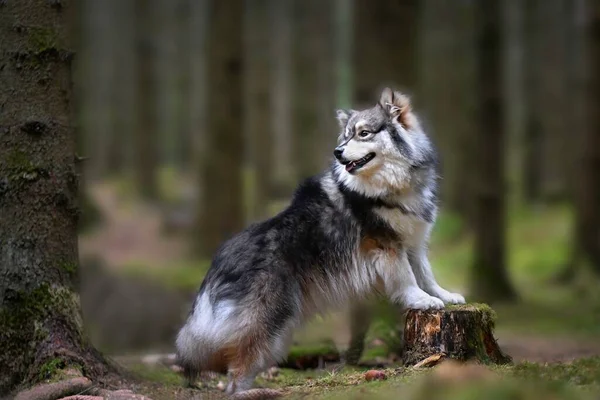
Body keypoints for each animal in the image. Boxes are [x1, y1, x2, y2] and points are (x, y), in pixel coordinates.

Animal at [176, 88, 466, 396]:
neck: (390, 186)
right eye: (346, 136)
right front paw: (421, 300)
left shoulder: (413, 244)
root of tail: (218, 260)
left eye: (363, 133)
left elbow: (426, 274)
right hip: (266, 321)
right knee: (235, 376)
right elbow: (407, 279)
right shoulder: (386, 246)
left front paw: (444, 295)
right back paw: (251, 393)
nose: (337, 152)